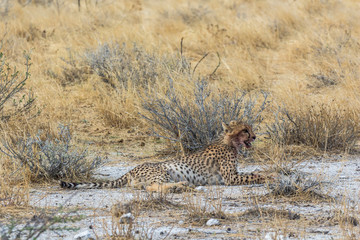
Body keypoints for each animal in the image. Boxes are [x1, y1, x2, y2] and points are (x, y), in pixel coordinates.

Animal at [59, 121, 268, 192]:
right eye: (245, 130)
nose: (255, 136)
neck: (229, 142)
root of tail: (131, 169)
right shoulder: (230, 178)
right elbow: (255, 175)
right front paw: (270, 177)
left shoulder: (232, 175)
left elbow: (254, 172)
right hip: (161, 170)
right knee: (152, 187)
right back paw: (181, 185)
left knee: (143, 187)